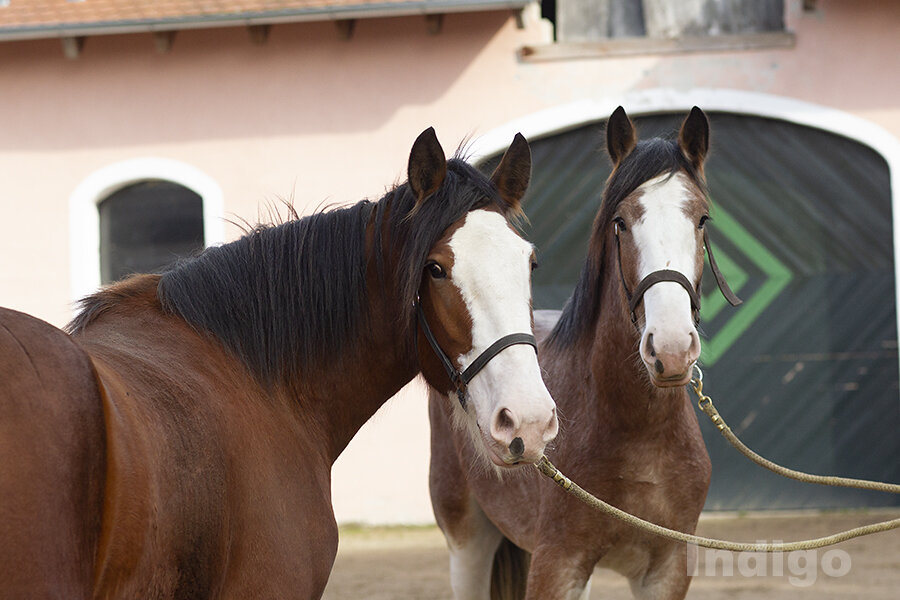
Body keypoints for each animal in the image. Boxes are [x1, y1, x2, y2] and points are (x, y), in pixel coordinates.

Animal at [429, 107, 741, 599]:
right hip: (468, 540)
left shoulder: (666, 570)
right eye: (621, 222)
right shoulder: (557, 565)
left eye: (702, 220)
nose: (671, 348)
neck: (636, 429)